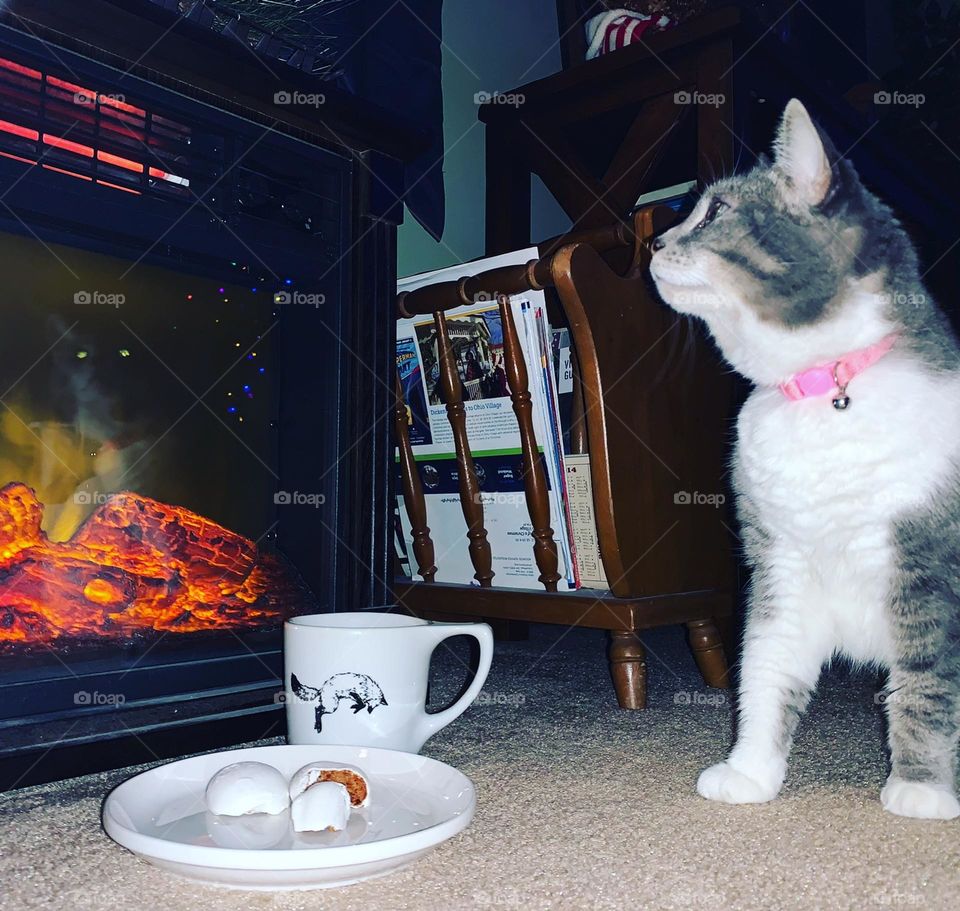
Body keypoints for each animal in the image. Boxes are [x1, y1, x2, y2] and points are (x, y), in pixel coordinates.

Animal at [652, 98, 960, 820]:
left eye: (715, 211)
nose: (650, 241)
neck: (822, 393)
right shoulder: (781, 568)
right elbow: (765, 670)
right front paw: (748, 772)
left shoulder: (931, 575)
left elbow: (927, 686)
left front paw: (921, 789)